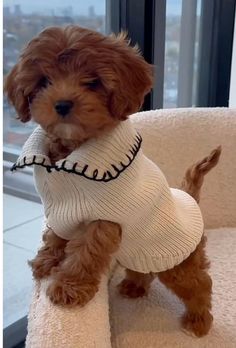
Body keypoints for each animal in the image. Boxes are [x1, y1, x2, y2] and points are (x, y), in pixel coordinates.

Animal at [4, 25, 221, 338]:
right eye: (44, 81)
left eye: (93, 82)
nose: (62, 104)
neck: (72, 154)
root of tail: (188, 197)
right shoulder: (59, 210)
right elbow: (55, 235)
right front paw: (46, 260)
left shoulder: (102, 222)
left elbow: (84, 254)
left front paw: (68, 287)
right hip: (141, 253)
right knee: (145, 269)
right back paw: (134, 286)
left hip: (178, 261)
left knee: (198, 284)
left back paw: (199, 320)